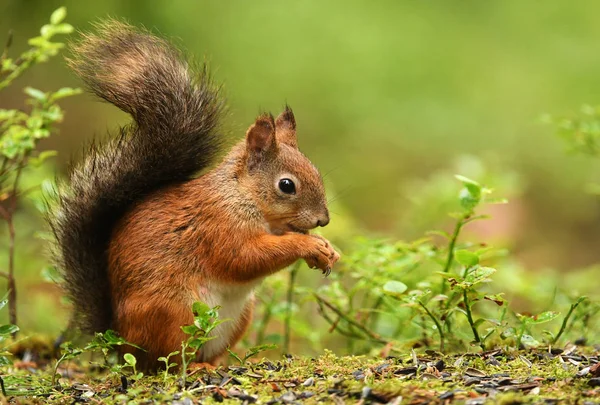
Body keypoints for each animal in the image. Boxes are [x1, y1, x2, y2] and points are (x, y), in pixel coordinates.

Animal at [49, 21, 340, 370]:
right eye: (286, 185)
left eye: (315, 170)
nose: (323, 220)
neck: (242, 195)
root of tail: (119, 341)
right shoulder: (218, 227)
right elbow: (245, 258)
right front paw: (308, 245)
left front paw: (327, 249)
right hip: (173, 311)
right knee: (166, 362)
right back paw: (196, 367)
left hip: (239, 315)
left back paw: (218, 363)